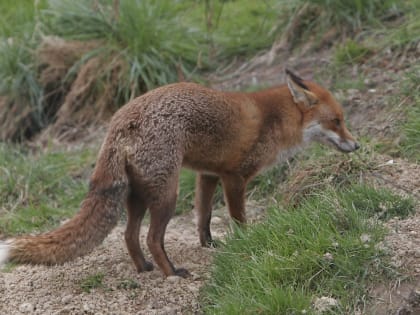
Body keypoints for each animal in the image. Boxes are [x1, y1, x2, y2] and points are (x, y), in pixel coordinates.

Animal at [0, 69, 358, 278]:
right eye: (337, 121)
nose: (356, 145)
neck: (274, 120)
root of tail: (120, 120)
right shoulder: (234, 177)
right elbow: (238, 219)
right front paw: (247, 242)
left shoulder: (208, 174)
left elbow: (204, 216)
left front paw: (209, 245)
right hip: (166, 195)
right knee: (151, 237)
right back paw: (171, 272)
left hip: (138, 195)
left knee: (129, 235)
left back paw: (143, 268)